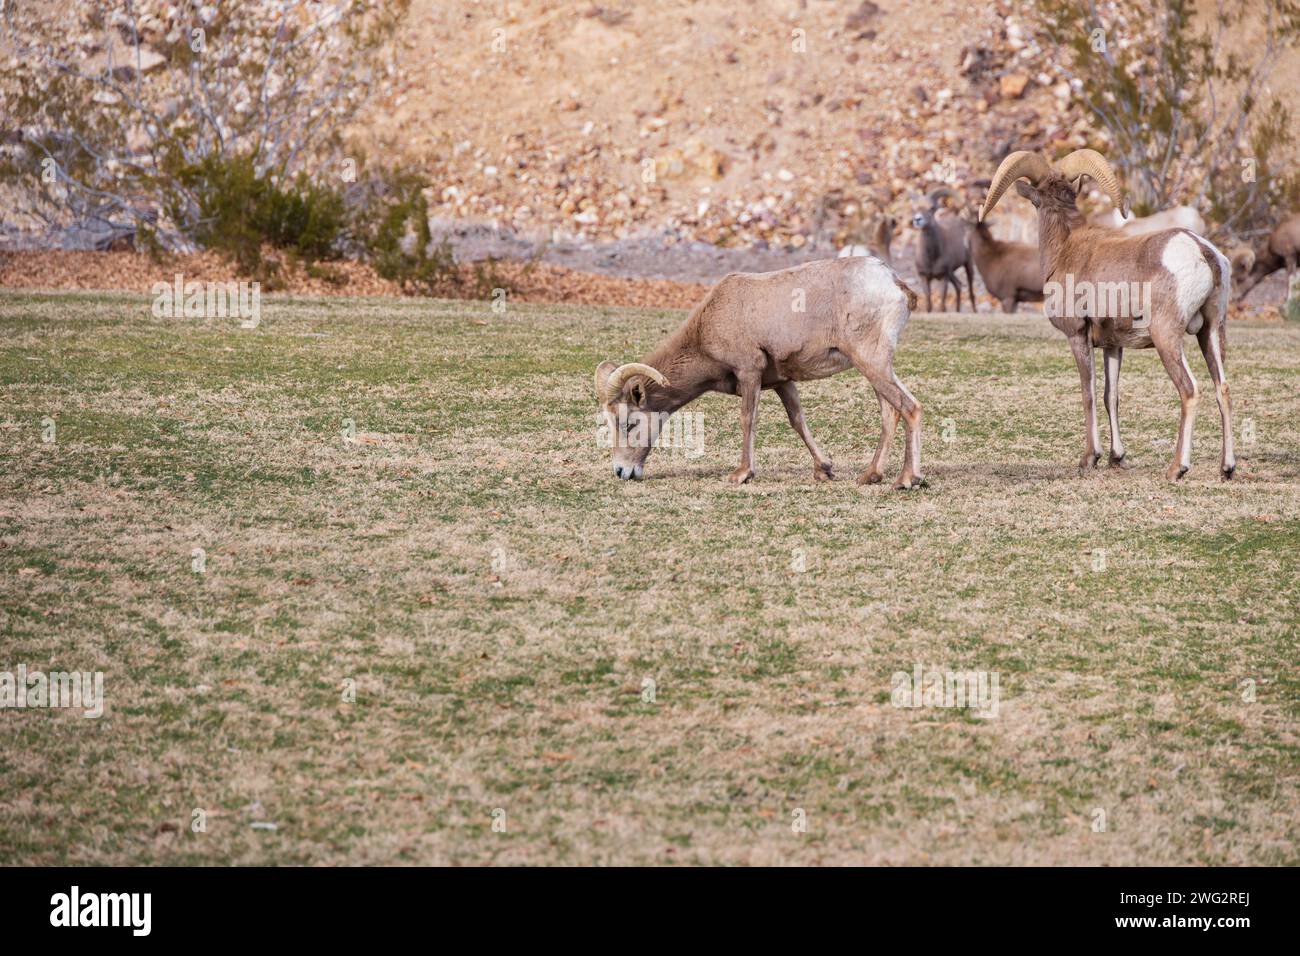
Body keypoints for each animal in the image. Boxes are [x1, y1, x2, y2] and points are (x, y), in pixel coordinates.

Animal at [594, 256, 926, 489]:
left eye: (629, 424)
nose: (622, 472)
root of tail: (895, 284)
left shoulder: (749, 372)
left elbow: (747, 420)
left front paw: (741, 474)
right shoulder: (782, 382)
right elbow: (797, 421)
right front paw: (824, 469)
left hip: (871, 362)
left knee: (909, 407)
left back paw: (906, 480)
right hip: (874, 367)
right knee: (890, 412)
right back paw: (870, 476)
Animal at [980, 149, 1234, 482]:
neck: (1065, 248)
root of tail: (1202, 252)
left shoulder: (1077, 336)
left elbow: (1087, 393)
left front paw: (1090, 458)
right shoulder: (1113, 346)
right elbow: (1110, 395)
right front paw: (1117, 458)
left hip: (1167, 337)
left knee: (1189, 390)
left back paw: (1176, 469)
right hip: (1211, 332)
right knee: (1223, 388)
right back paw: (1227, 469)